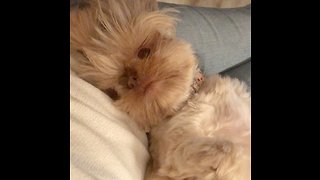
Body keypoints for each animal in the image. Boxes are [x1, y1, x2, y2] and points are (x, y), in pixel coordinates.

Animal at [70, 0, 250, 179]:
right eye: (122, 85)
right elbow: (226, 148)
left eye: (144, 52)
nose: (133, 80)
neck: (187, 101)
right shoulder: (176, 154)